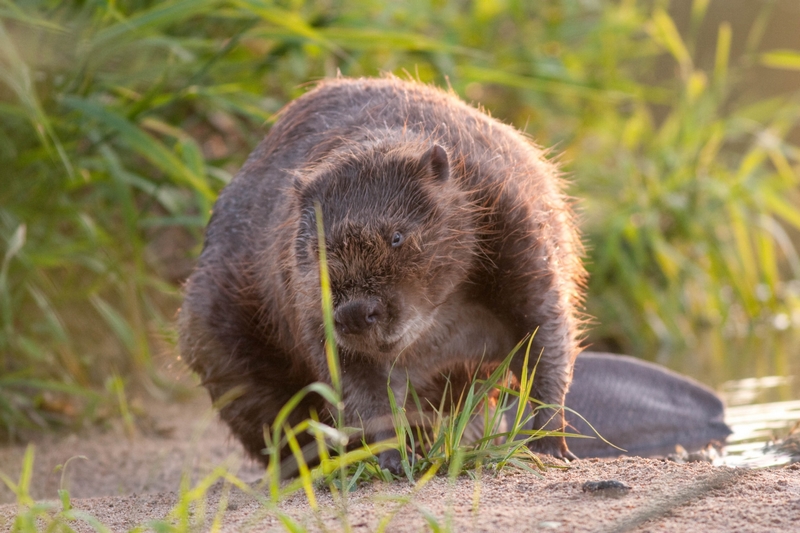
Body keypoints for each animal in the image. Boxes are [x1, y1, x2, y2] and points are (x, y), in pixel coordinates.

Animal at [178, 75, 584, 470]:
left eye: (396, 237)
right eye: (315, 249)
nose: (356, 314)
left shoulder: (518, 230)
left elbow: (544, 337)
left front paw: (551, 444)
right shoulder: (307, 302)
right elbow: (357, 383)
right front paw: (395, 457)